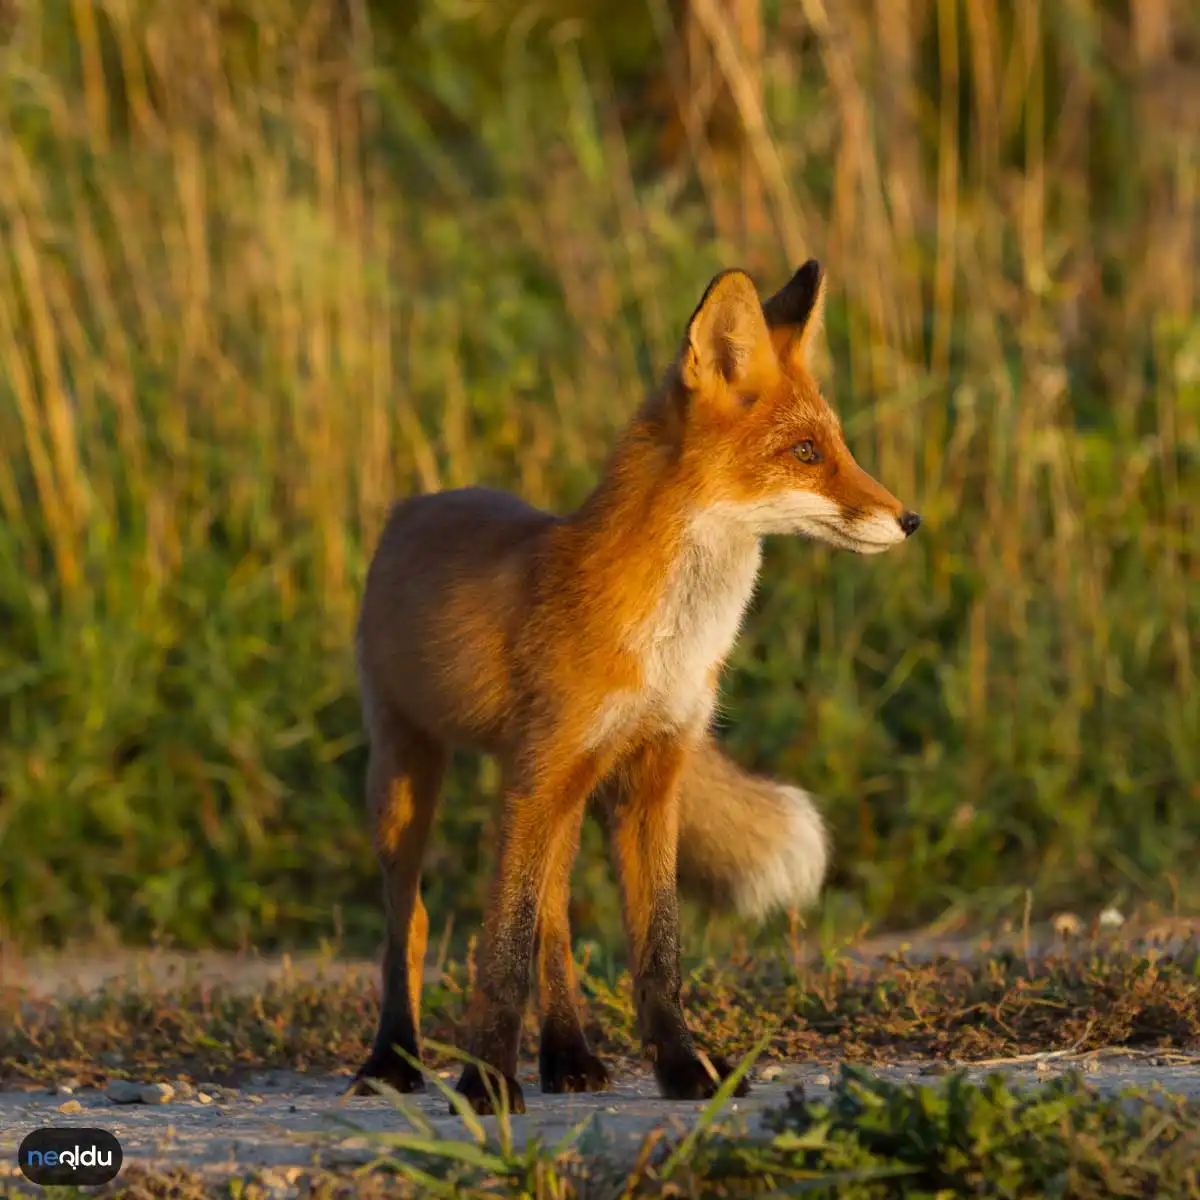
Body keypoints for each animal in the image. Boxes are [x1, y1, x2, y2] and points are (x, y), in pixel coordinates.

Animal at [348, 262, 916, 1113]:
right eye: (806, 452)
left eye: (838, 445)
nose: (910, 520)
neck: (670, 644)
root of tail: (415, 504)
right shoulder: (542, 775)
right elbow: (498, 951)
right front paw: (486, 1084)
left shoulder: (653, 772)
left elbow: (655, 947)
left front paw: (685, 1069)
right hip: (410, 770)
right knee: (409, 922)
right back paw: (394, 1057)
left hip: (562, 790)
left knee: (552, 920)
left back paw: (568, 1055)